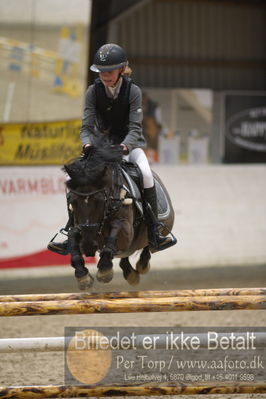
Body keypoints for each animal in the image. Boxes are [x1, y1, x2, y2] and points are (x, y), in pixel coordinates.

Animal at [62, 144, 175, 290]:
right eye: (73, 201)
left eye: (100, 200)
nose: (88, 246)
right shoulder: (79, 227)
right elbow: (72, 236)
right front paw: (82, 275)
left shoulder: (125, 230)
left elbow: (116, 228)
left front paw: (104, 269)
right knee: (126, 256)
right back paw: (131, 274)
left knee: (148, 244)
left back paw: (142, 264)